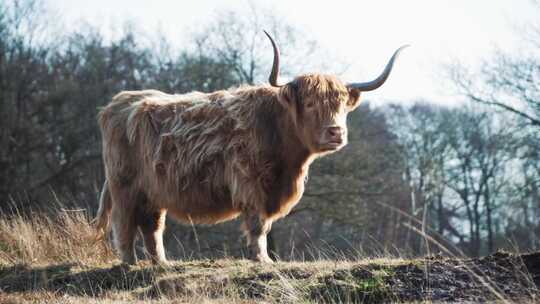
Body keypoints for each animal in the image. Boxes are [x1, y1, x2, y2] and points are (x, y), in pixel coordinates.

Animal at [95, 31, 404, 264]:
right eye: (310, 104)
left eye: (341, 105)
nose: (336, 132)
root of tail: (118, 103)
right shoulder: (250, 182)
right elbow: (258, 225)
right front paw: (263, 259)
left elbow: (264, 224)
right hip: (124, 187)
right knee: (124, 224)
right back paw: (129, 263)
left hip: (153, 190)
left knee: (152, 226)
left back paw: (160, 263)